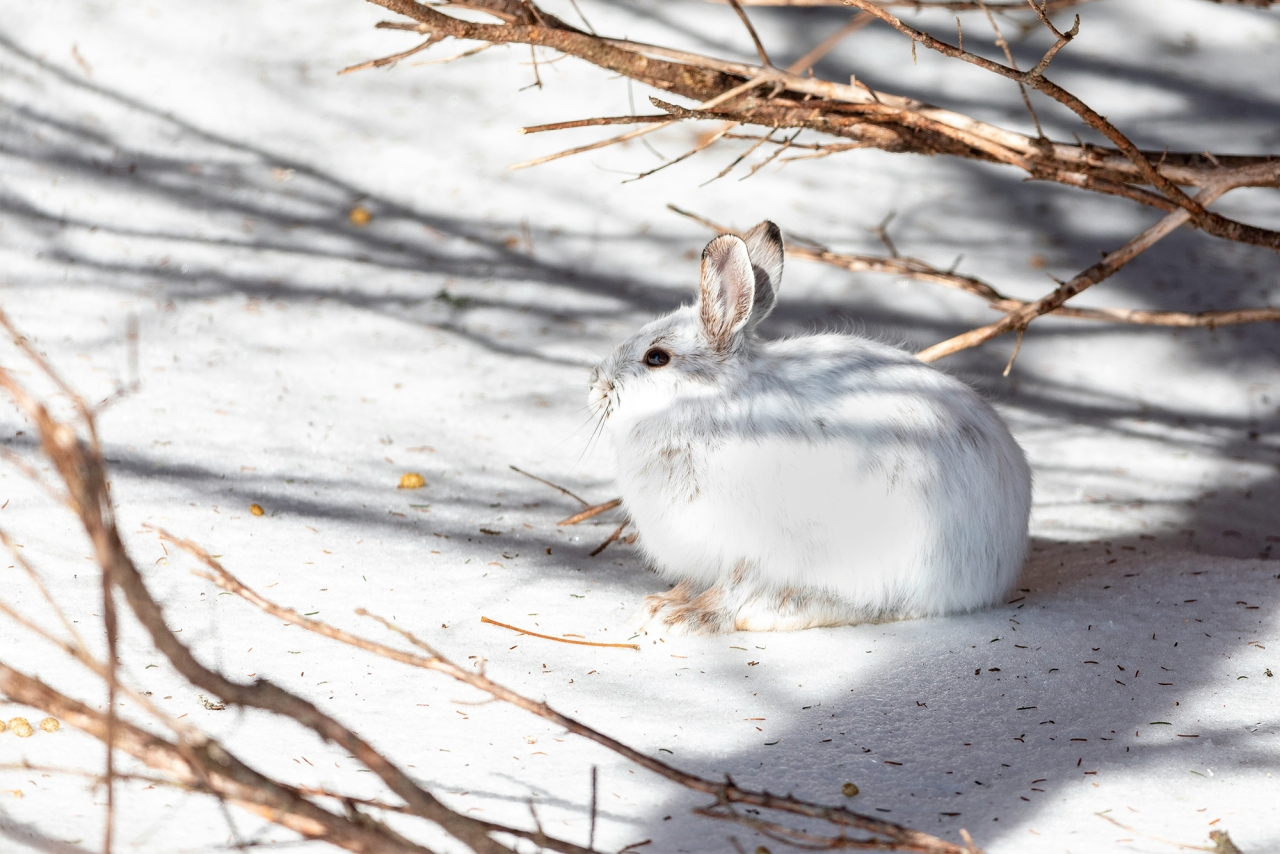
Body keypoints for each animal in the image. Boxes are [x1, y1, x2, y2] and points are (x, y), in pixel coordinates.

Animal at [587, 221, 1032, 636]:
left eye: (656, 357)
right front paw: (661, 604)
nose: (595, 386)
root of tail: (1002, 558)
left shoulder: (753, 547)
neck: (710, 404)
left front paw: (687, 618)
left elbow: (732, 587)